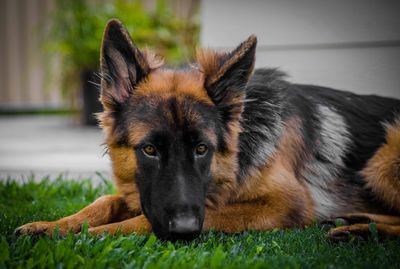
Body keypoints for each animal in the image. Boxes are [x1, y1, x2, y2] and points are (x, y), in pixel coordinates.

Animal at [15, 19, 400, 241]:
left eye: (202, 149)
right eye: (149, 150)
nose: (186, 232)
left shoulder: (285, 204)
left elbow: (146, 221)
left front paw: (83, 236)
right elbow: (104, 201)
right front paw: (52, 226)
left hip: (383, 158)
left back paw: (359, 231)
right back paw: (353, 221)